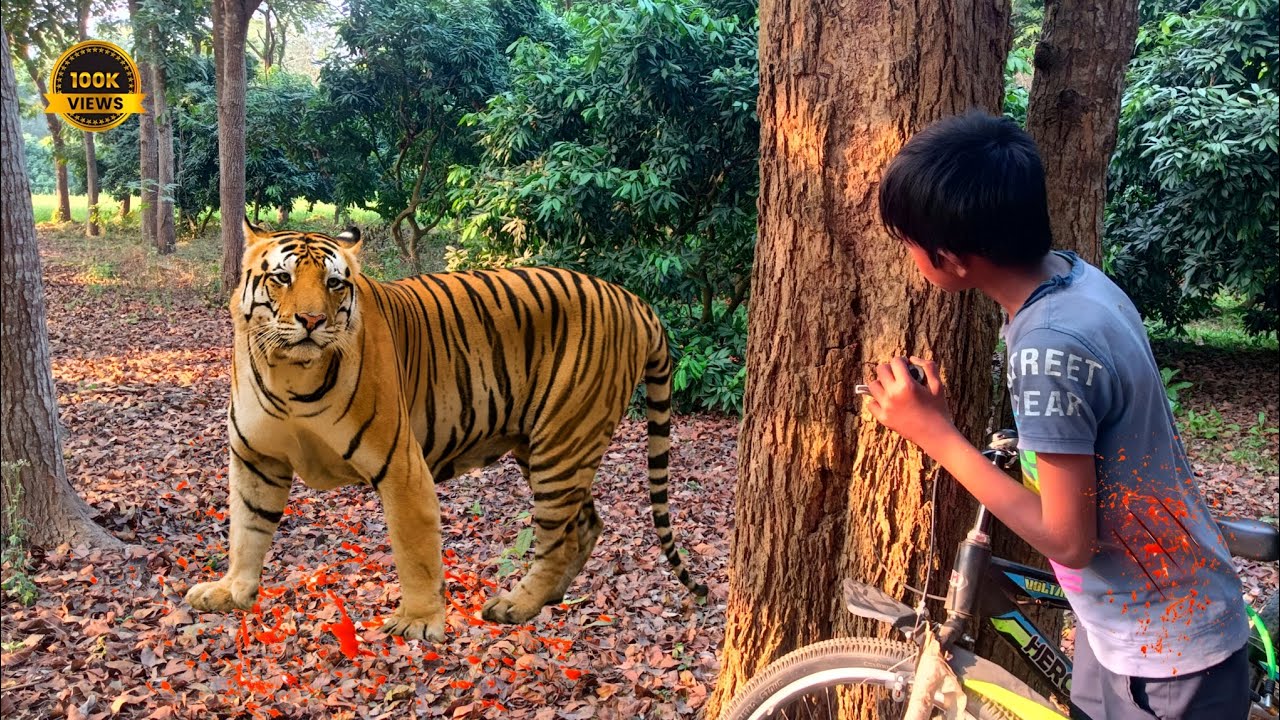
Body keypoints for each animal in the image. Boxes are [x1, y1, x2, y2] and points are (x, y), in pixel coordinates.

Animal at [184, 220, 706, 641]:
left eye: (334, 283)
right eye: (282, 278)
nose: (311, 321)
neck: (288, 375)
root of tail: (632, 299)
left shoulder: (401, 466)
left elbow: (415, 550)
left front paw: (418, 622)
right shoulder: (256, 458)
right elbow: (247, 528)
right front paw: (232, 592)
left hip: (564, 440)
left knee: (557, 538)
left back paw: (517, 604)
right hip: (545, 447)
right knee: (587, 525)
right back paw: (550, 598)